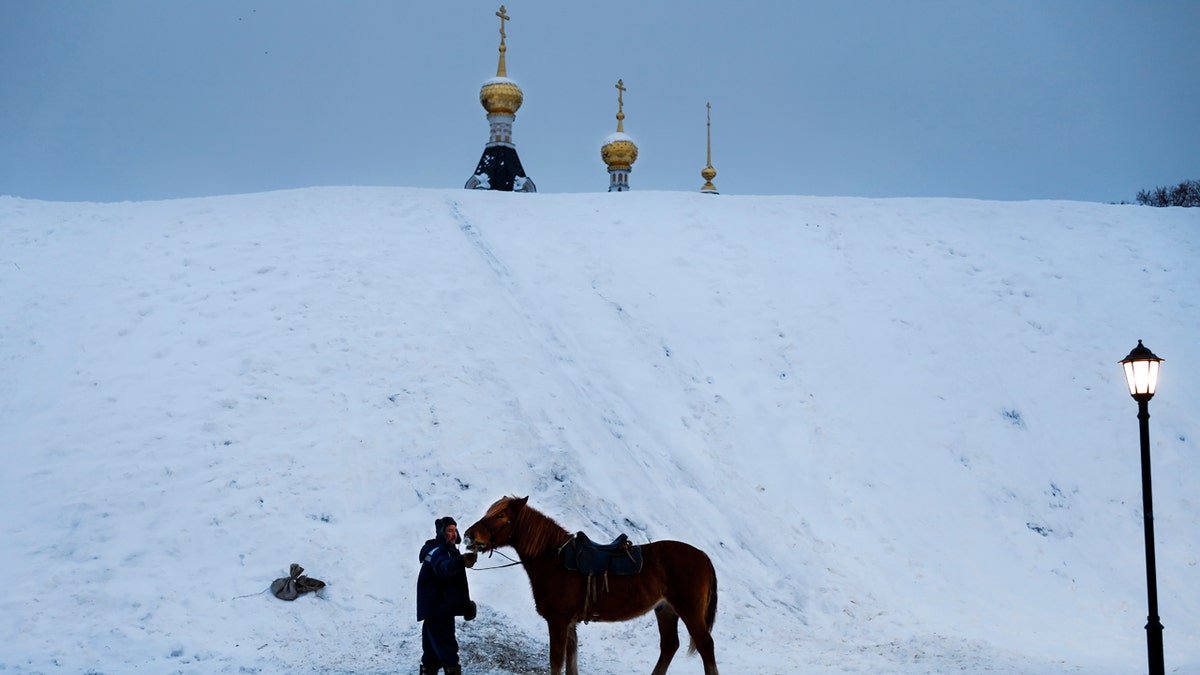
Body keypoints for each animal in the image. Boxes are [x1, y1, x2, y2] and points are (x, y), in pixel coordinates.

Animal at [463, 494, 715, 672]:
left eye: (500, 516)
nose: (468, 536)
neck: (553, 560)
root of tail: (703, 556)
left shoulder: (558, 621)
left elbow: (557, 663)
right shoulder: (570, 624)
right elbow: (571, 664)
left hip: (689, 611)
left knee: (705, 646)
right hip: (666, 610)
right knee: (669, 646)